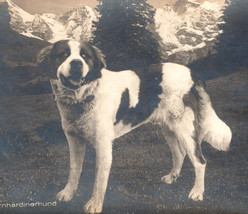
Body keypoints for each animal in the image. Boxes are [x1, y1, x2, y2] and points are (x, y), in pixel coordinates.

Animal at [37, 39, 232, 212]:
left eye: (85, 56)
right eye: (64, 55)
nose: (77, 64)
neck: (84, 96)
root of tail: (193, 73)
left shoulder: (103, 144)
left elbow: (99, 179)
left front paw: (95, 204)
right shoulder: (74, 139)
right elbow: (74, 168)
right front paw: (68, 193)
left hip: (184, 128)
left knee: (199, 161)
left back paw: (197, 192)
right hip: (168, 127)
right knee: (179, 153)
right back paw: (172, 177)